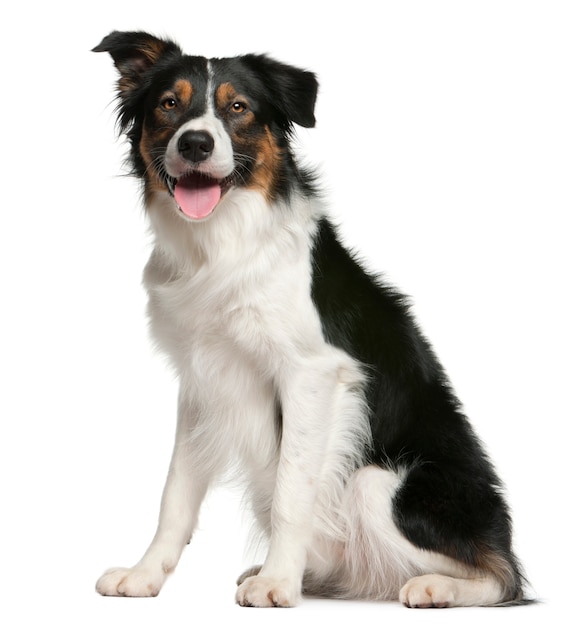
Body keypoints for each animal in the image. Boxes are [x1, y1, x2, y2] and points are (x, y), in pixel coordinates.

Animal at [92, 30, 528, 604]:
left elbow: (292, 489)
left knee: (500, 575)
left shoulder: (312, 373)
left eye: (238, 107)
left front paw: (279, 581)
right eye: (169, 103)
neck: (222, 246)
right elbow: (176, 493)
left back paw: (435, 587)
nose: (195, 144)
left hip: (379, 482)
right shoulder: (203, 379)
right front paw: (145, 574)